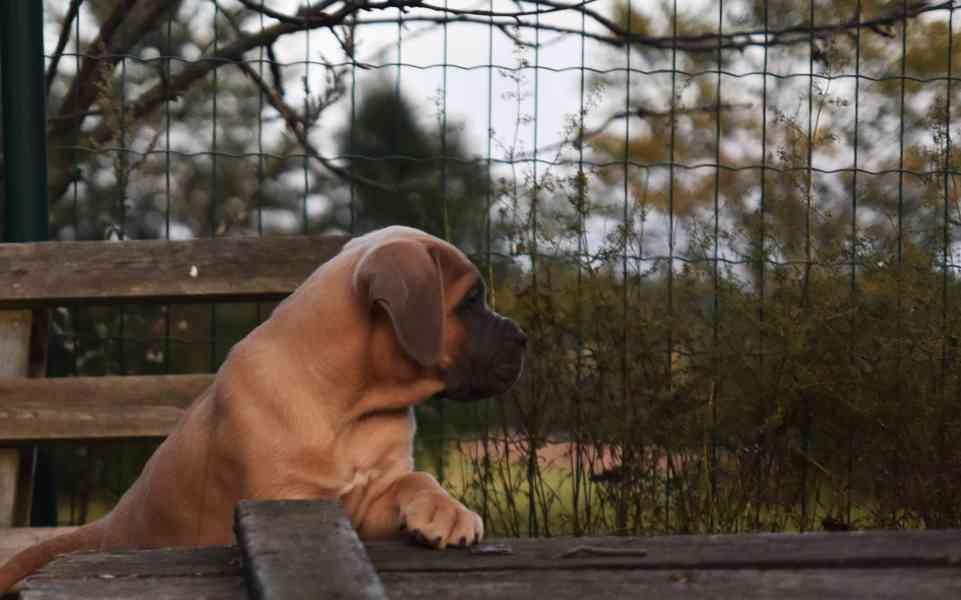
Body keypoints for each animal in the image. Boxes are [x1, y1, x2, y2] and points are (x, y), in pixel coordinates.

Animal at [0, 226, 524, 592]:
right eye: (471, 300)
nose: (523, 337)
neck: (350, 405)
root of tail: (106, 527)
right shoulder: (287, 496)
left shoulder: (373, 497)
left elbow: (416, 479)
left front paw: (447, 510)